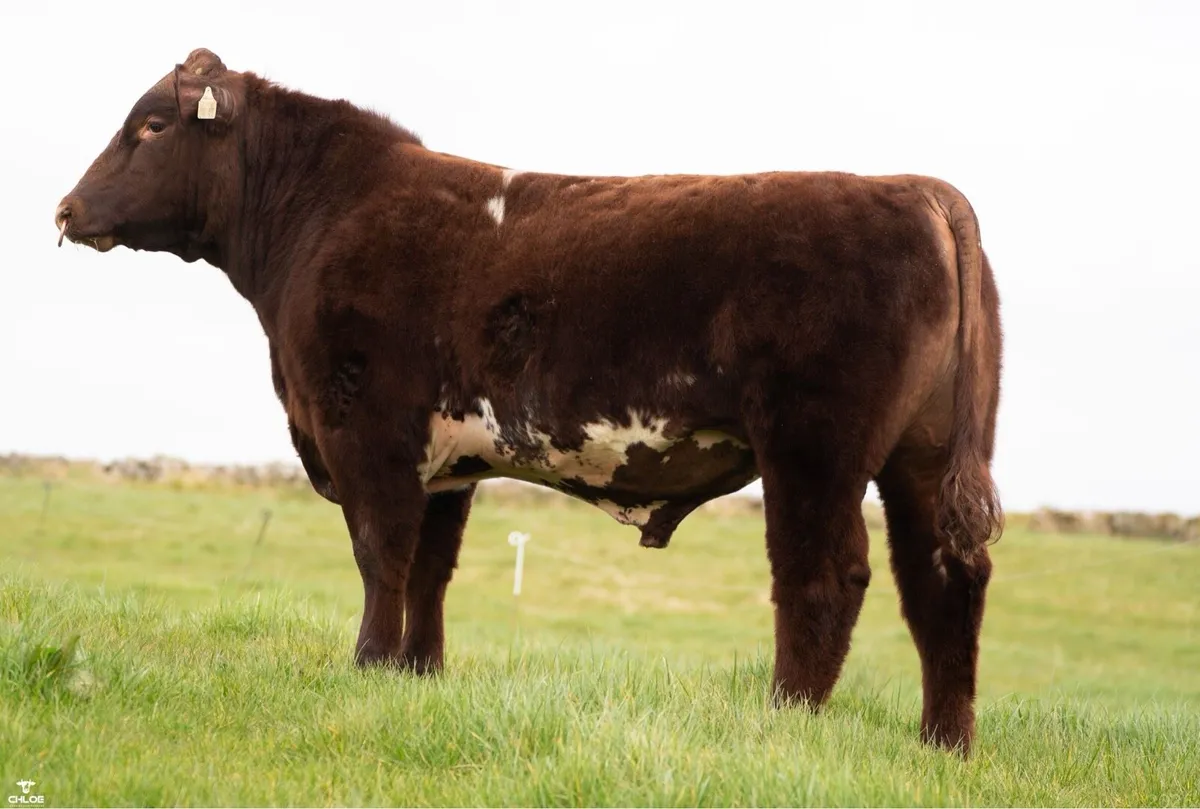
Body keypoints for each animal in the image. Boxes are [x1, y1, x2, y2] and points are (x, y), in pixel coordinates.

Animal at [56, 48, 1003, 753]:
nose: (65, 209)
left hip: (813, 445)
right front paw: (418, 673)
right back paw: (943, 741)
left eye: (151, 124)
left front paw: (367, 664)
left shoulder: (367, 430)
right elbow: (430, 567)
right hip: (921, 454)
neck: (320, 218)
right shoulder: (445, 459)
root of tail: (913, 187)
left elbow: (380, 553)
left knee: (824, 573)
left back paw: (784, 721)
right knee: (943, 577)